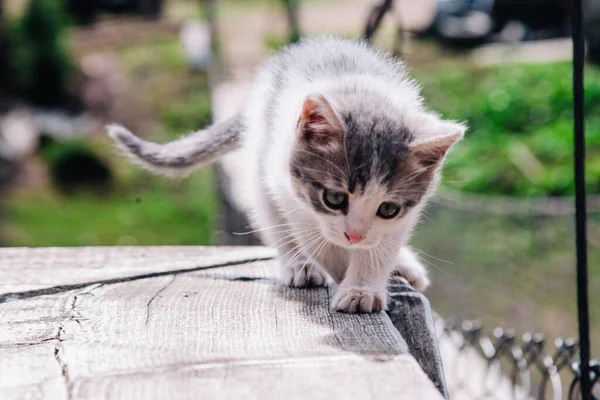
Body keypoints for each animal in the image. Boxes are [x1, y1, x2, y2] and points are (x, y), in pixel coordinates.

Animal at [106, 36, 464, 314]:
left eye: (388, 208)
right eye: (334, 198)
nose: (354, 236)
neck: (358, 88)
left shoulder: (404, 215)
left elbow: (381, 245)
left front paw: (362, 287)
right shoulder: (288, 189)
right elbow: (317, 238)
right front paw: (339, 271)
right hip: (261, 167)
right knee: (277, 223)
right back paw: (299, 266)